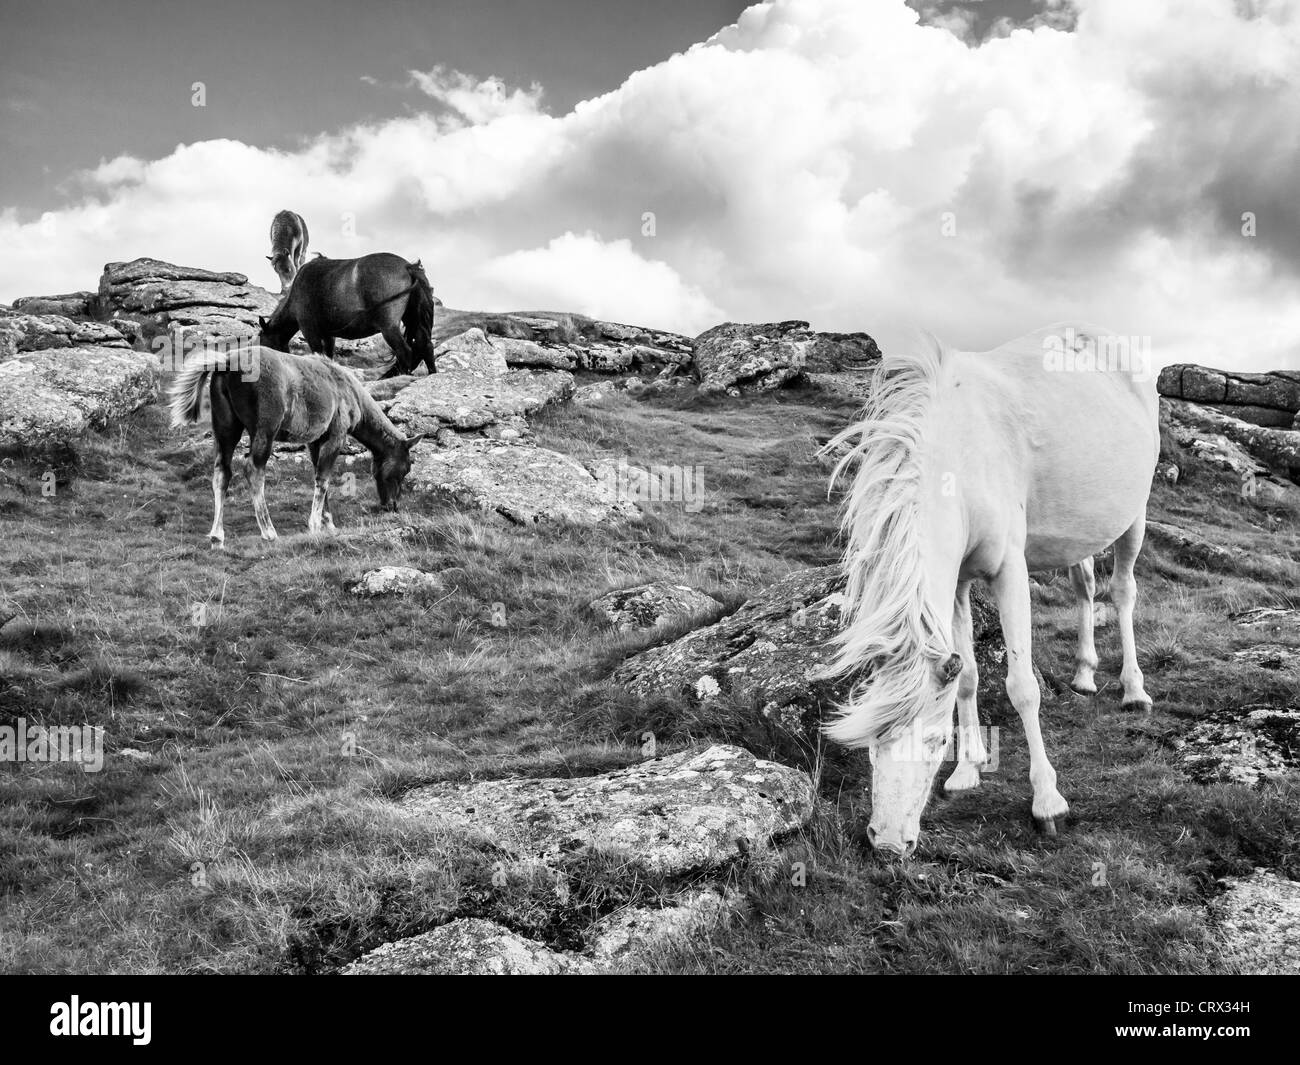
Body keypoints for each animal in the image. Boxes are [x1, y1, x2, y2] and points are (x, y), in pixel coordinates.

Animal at [167, 345, 425, 547]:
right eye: (405, 469)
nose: (392, 505)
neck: (350, 393)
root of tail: (225, 364)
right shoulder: (336, 435)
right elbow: (323, 479)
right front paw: (315, 524)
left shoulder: (315, 441)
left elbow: (319, 477)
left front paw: (328, 522)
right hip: (264, 430)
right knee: (253, 470)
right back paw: (269, 532)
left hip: (226, 428)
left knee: (222, 472)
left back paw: (217, 537)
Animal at [258, 253, 436, 379]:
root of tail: (408, 267)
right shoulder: (328, 335)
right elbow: (328, 356)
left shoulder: (310, 331)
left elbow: (317, 352)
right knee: (426, 346)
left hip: (389, 328)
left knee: (405, 352)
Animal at [821, 322, 1159, 858]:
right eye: (874, 743)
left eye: (936, 741)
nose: (888, 843)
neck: (961, 452)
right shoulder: (959, 580)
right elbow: (967, 676)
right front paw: (969, 769)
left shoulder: (1009, 572)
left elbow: (1022, 687)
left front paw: (1047, 801)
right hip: (1078, 530)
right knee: (1085, 587)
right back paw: (1085, 674)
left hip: (1135, 517)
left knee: (1123, 592)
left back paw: (1134, 690)